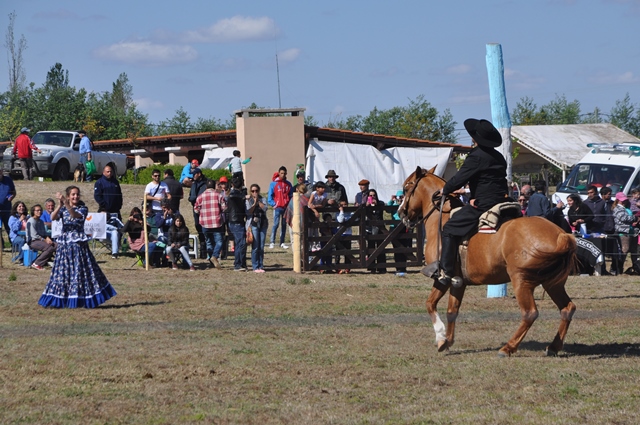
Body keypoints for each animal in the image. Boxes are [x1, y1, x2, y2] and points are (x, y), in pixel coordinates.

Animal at [398, 166, 576, 354]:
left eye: (406, 188)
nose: (400, 212)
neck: (441, 220)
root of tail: (562, 235)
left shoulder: (442, 278)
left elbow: (430, 304)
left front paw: (440, 338)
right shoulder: (458, 282)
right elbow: (452, 310)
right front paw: (447, 341)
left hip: (521, 281)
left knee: (530, 313)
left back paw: (508, 348)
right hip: (553, 284)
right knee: (567, 308)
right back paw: (553, 346)